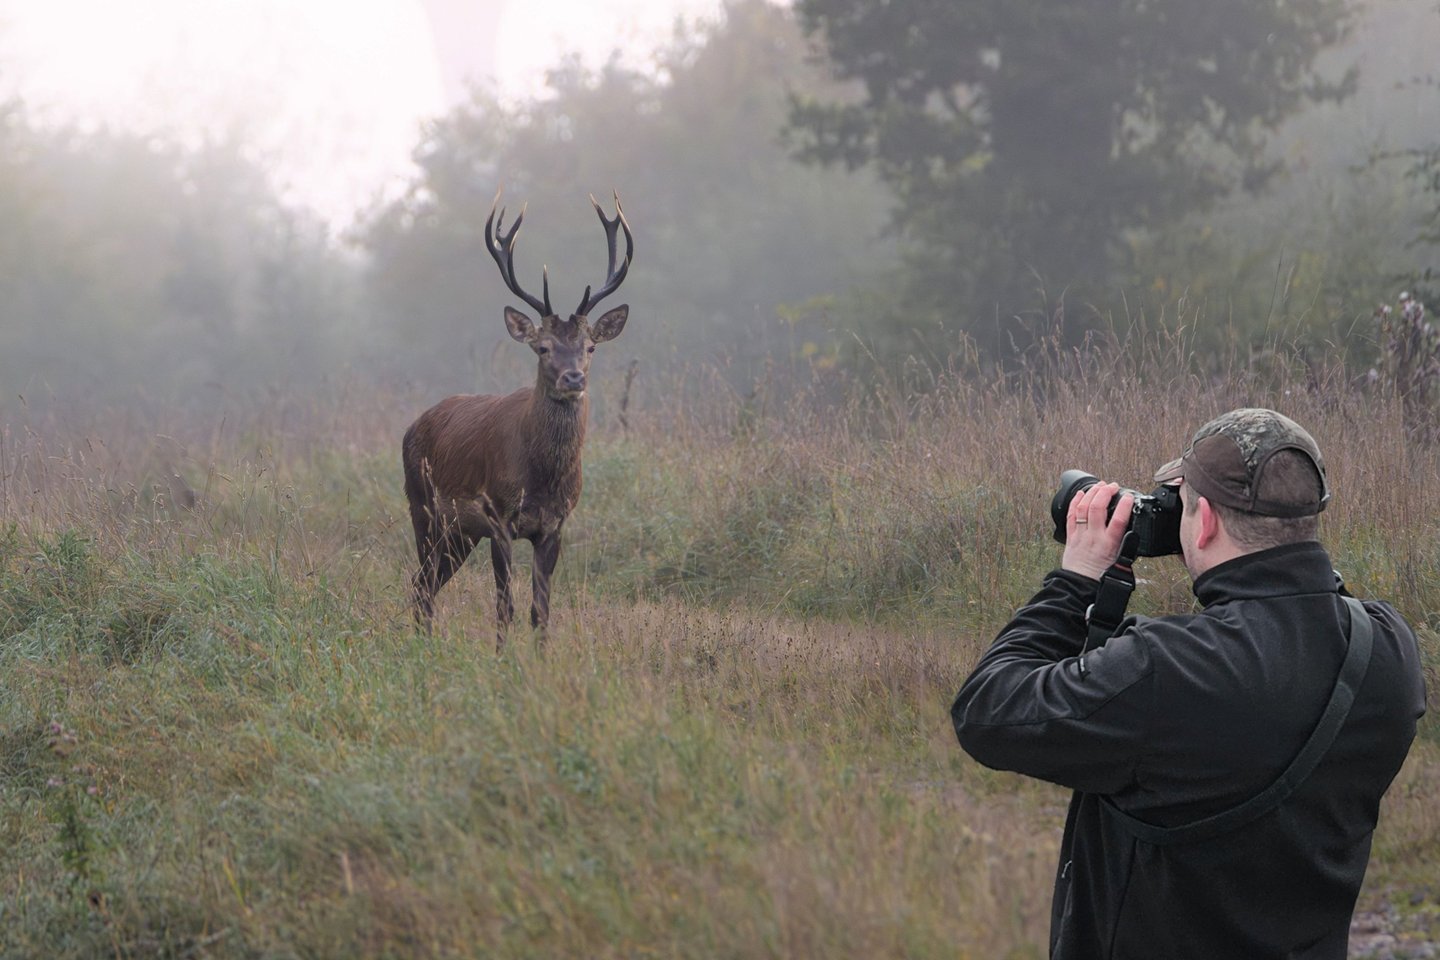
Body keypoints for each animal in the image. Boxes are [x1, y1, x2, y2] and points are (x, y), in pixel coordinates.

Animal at [402, 189, 633, 644]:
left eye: (590, 347)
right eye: (542, 347)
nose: (573, 376)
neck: (542, 478)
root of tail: (414, 425)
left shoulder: (555, 525)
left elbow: (539, 610)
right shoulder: (498, 516)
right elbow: (504, 607)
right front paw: (502, 657)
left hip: (459, 533)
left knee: (427, 582)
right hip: (422, 506)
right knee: (421, 582)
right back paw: (421, 644)